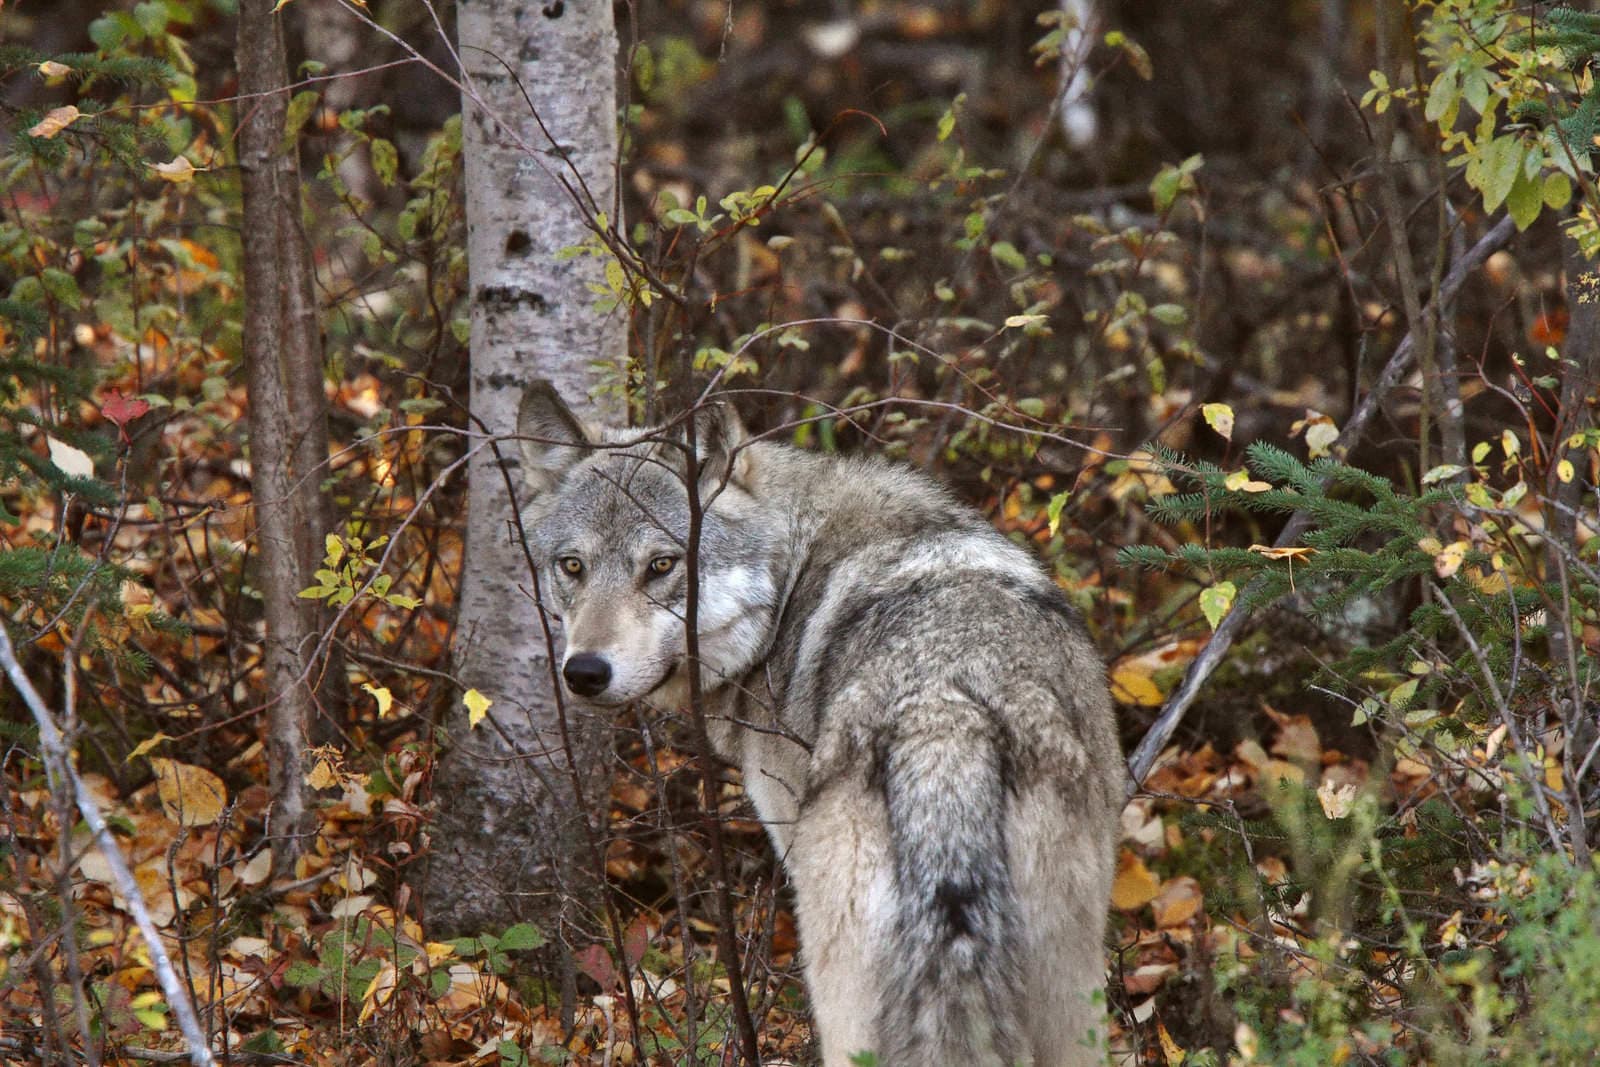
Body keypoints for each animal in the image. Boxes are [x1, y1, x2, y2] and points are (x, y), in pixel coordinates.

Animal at [516, 383, 1122, 1066]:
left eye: (662, 564)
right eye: (572, 566)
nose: (585, 672)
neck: (791, 576)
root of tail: (945, 719)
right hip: (1073, 1002)